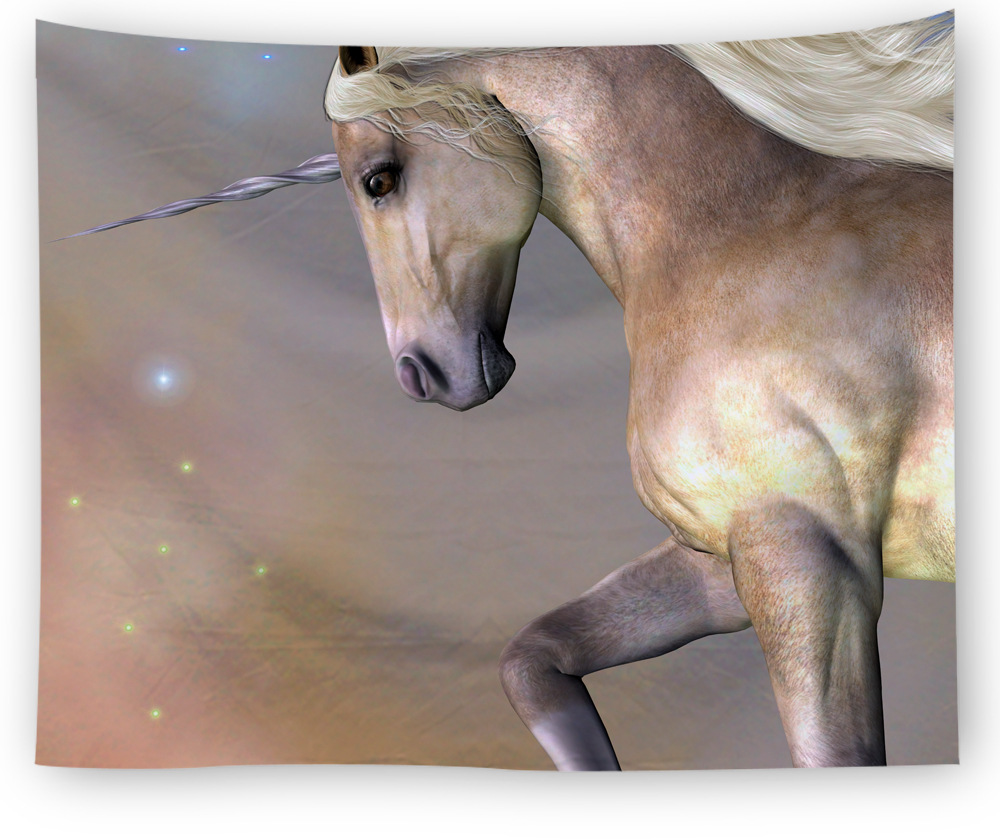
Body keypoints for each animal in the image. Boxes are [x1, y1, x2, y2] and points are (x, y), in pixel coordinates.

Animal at [71, 14, 954, 769]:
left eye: (378, 179)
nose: (419, 372)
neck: (743, 220)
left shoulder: (807, 557)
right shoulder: (725, 556)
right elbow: (529, 658)